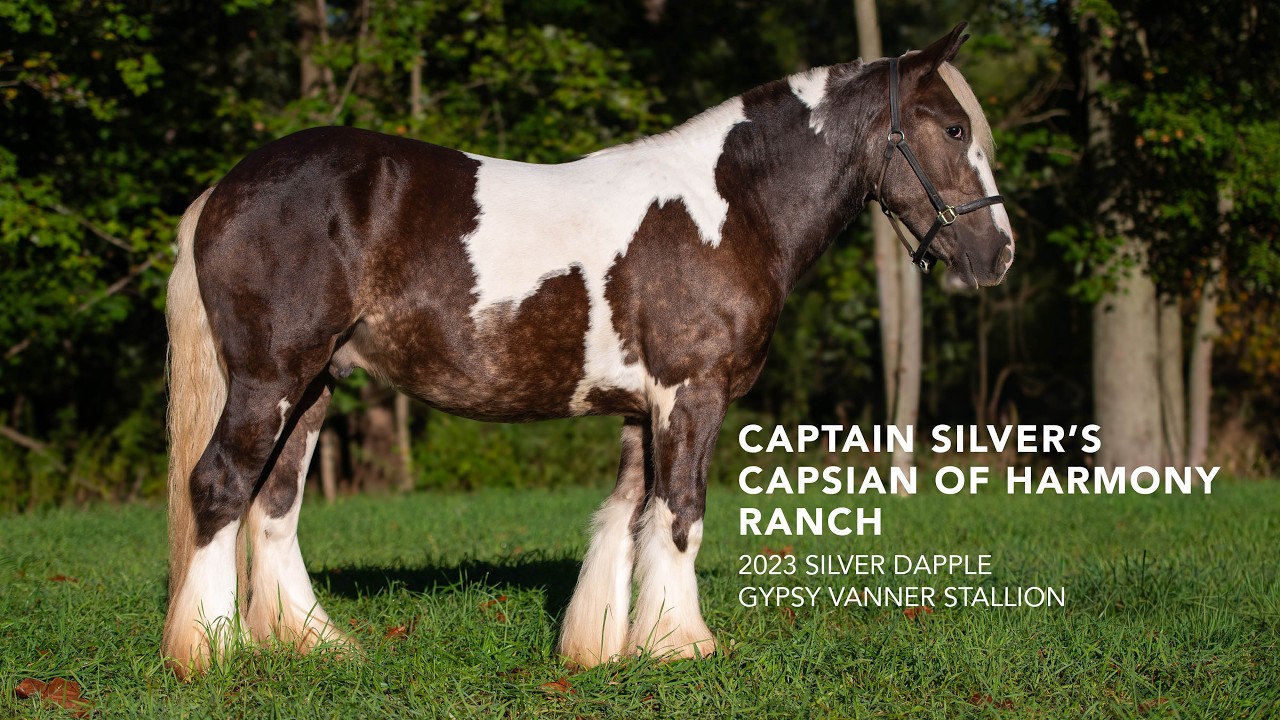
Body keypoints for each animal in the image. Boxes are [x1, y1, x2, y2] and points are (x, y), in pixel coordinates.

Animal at [161, 22, 1013, 678]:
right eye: (953, 129)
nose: (998, 253)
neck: (727, 207)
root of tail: (226, 188)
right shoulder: (692, 393)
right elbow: (680, 514)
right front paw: (681, 646)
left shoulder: (644, 407)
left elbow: (627, 516)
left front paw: (603, 647)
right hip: (270, 378)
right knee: (220, 486)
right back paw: (207, 654)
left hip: (314, 386)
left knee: (274, 506)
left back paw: (312, 644)